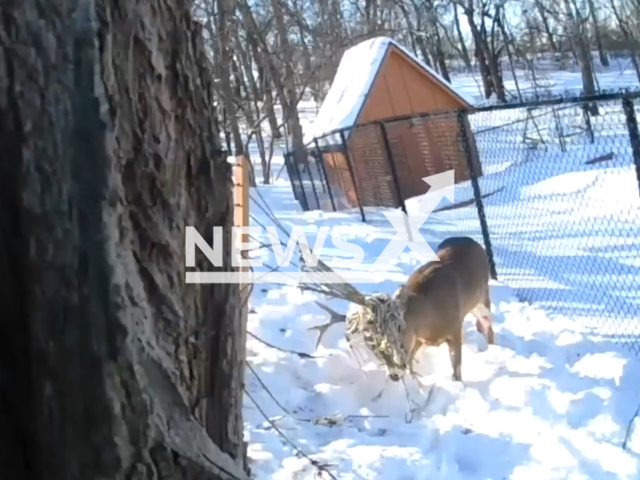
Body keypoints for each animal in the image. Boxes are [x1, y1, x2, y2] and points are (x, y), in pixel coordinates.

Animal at [310, 236, 496, 382]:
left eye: (397, 330)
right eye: (372, 345)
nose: (393, 375)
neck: (431, 315)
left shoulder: (455, 329)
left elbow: (456, 369)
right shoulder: (418, 339)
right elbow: (412, 363)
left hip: (482, 298)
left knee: (489, 326)